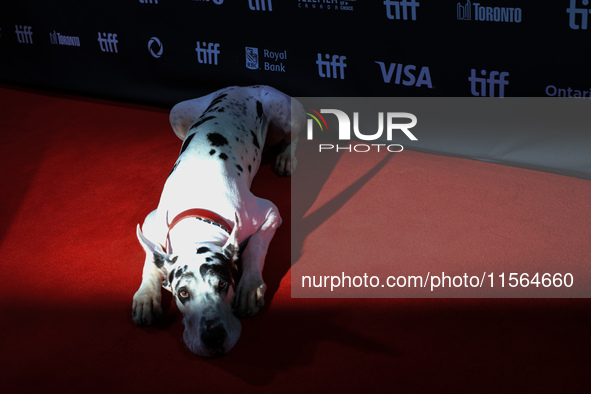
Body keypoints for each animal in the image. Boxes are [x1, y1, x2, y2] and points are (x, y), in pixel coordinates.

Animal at [131, 86, 302, 358]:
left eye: (223, 284)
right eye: (183, 293)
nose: (213, 337)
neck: (198, 224)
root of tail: (244, 87)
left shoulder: (270, 212)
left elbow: (255, 249)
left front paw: (249, 286)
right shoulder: (150, 223)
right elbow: (151, 259)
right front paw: (147, 295)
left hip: (281, 109)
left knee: (295, 136)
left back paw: (286, 157)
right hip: (178, 113)